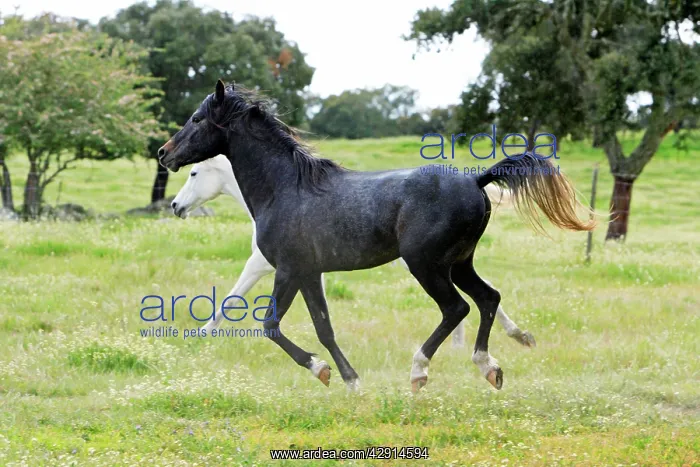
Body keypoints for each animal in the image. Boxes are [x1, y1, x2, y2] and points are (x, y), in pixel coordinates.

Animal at [171, 154, 536, 351]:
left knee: (464, 301)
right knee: (479, 296)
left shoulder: (262, 266)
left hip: (426, 263)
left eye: (194, 173)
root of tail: (474, 181)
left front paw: (200, 335)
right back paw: (510, 337)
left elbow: (230, 299)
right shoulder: (304, 270)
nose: (175, 205)